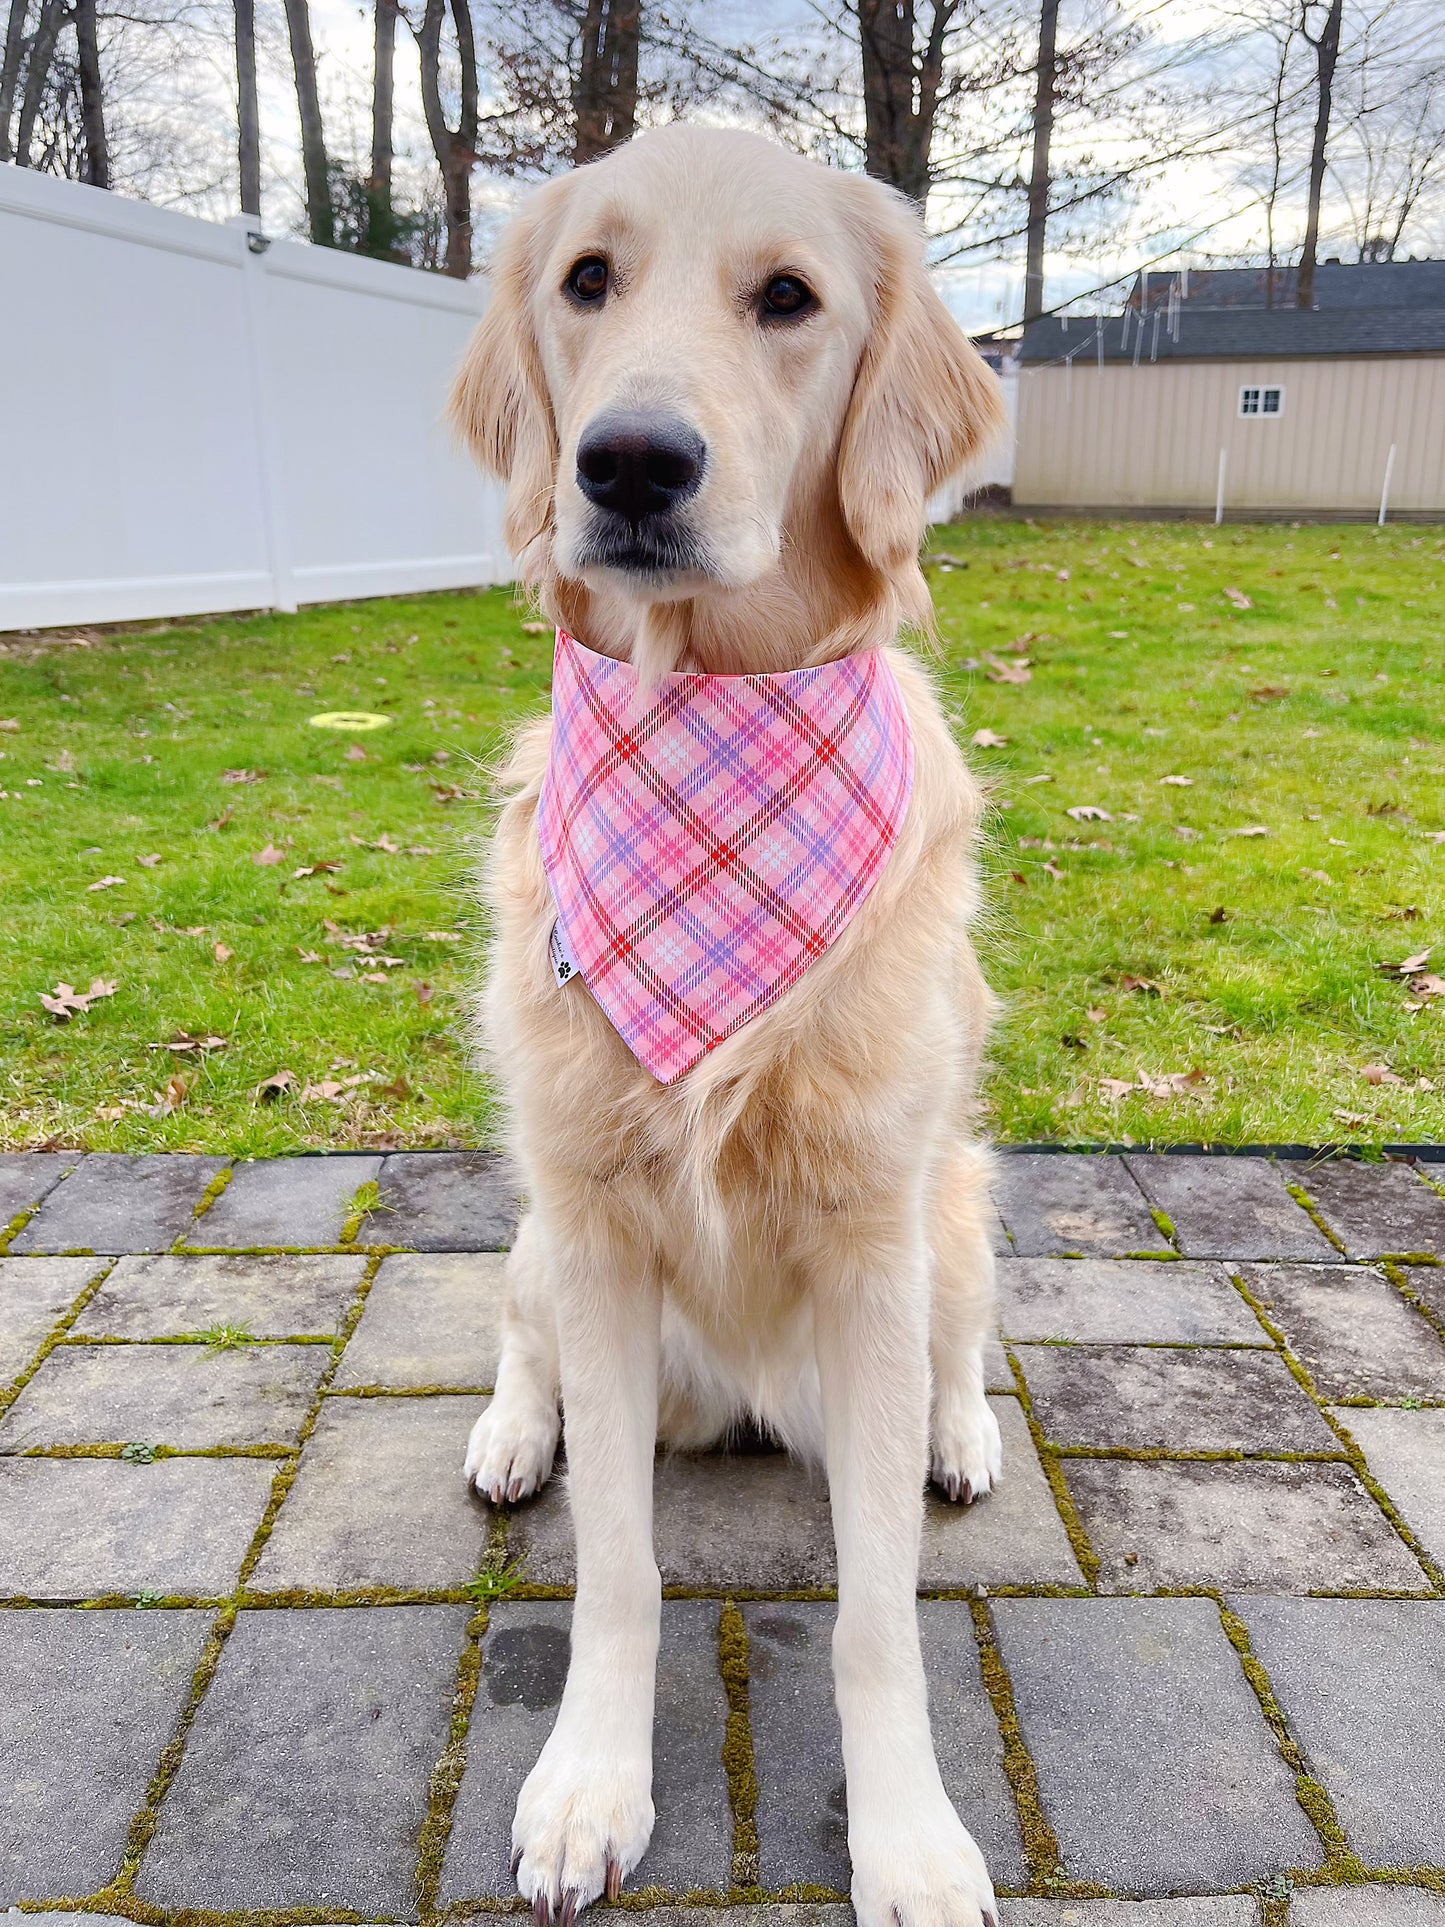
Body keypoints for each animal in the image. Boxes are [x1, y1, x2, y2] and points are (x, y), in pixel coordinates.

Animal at [452, 124, 1009, 1927]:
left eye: (787, 298)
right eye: (585, 280)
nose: (629, 463)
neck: (707, 721)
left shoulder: (875, 1242)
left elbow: (877, 1615)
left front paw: (907, 1834)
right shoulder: (595, 1229)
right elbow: (619, 1567)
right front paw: (587, 1786)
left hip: (954, 1214)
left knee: (969, 1341)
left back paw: (963, 1435)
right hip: (545, 1238)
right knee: (518, 1337)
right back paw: (511, 1430)